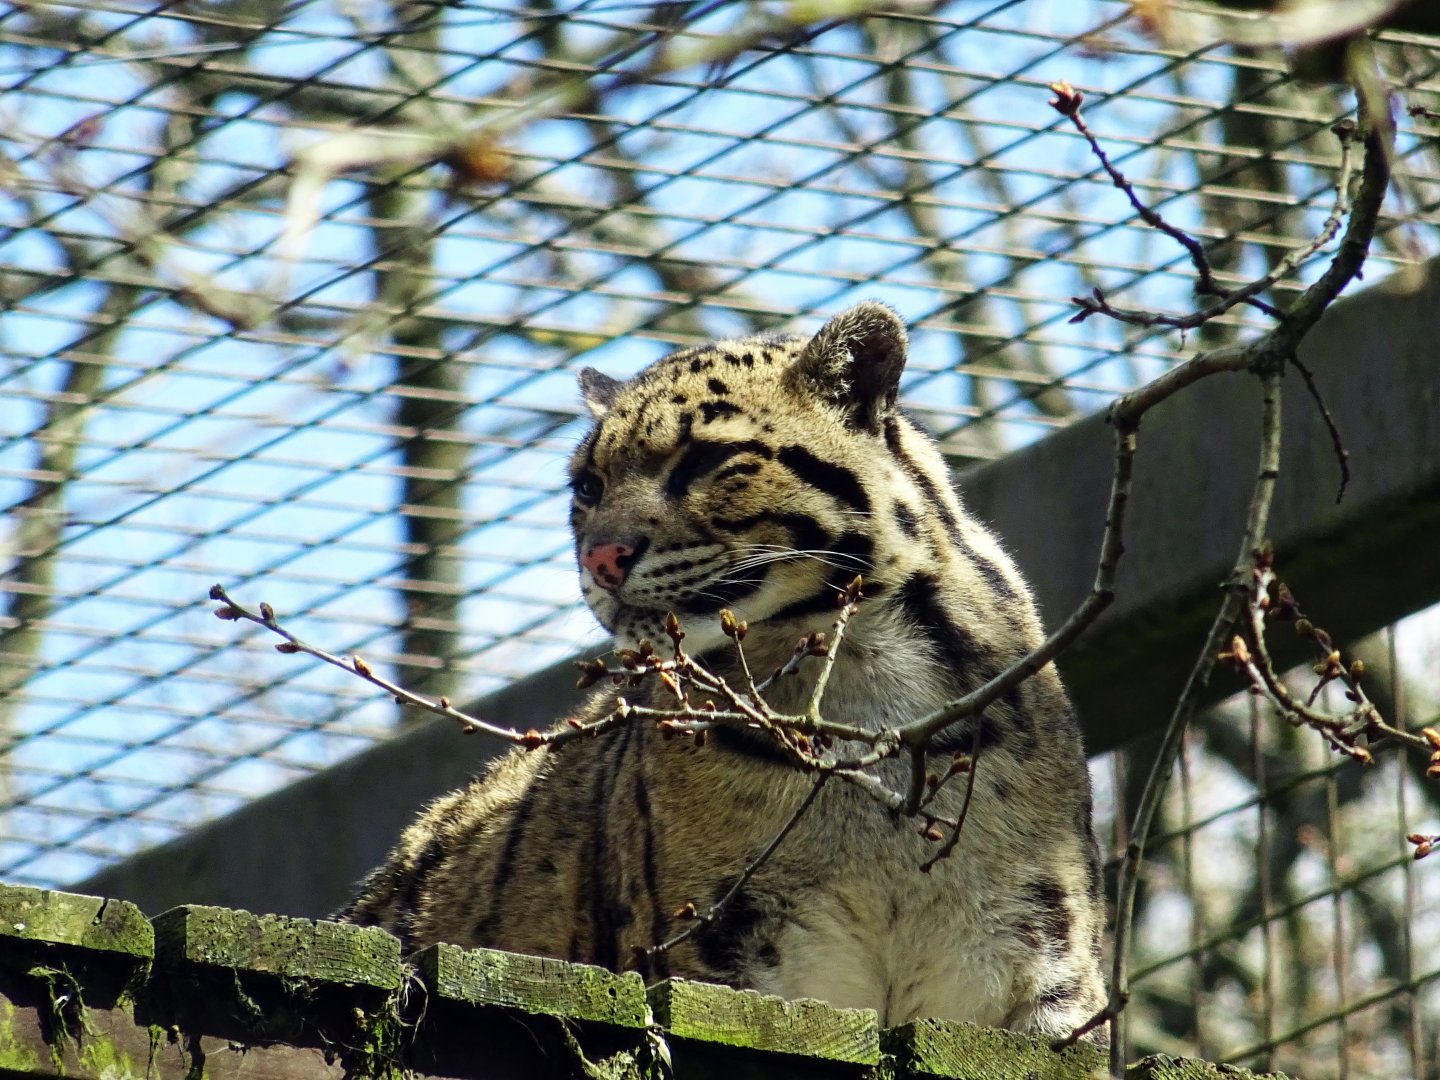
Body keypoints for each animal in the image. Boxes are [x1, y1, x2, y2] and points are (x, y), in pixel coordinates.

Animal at [339, 301, 1107, 1041]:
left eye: (705, 459)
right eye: (587, 486)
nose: (600, 558)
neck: (861, 669)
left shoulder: (1041, 959)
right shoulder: (726, 954)